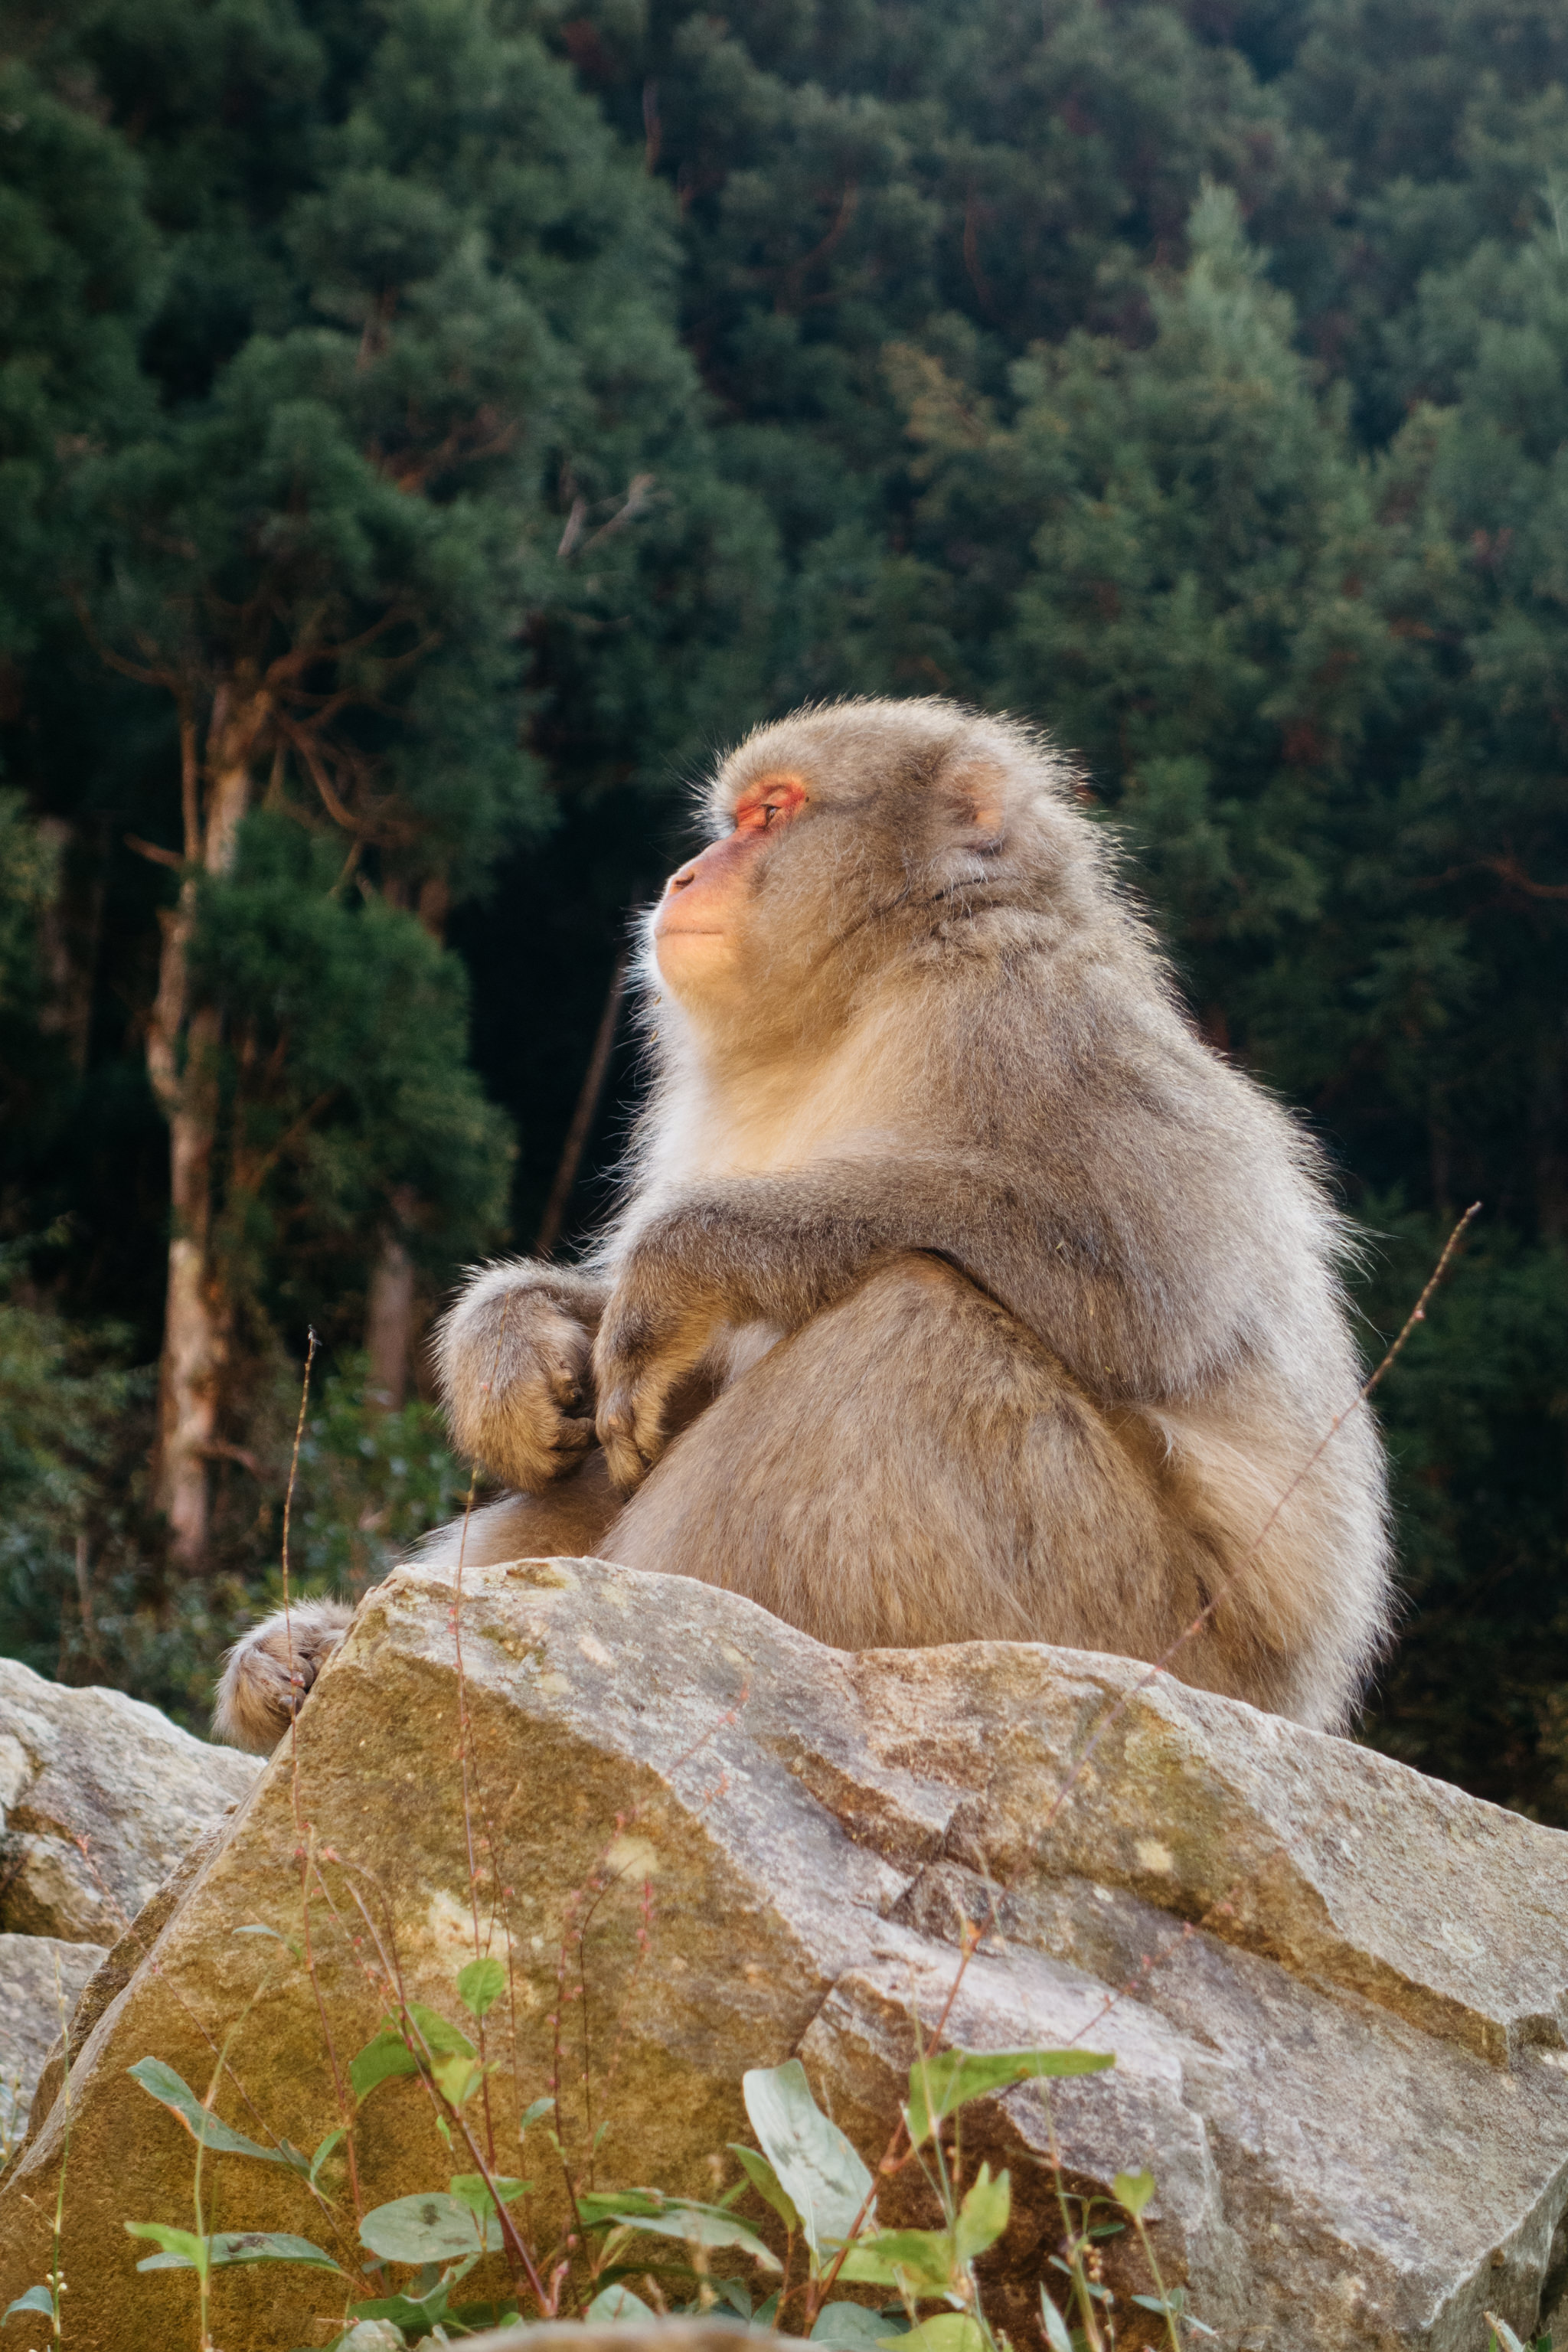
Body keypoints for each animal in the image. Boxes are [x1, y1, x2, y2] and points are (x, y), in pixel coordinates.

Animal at [215, 696, 1391, 1754]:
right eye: (729, 820)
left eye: (772, 814)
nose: (683, 878)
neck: (864, 987)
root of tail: (1296, 1704)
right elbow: (648, 1371)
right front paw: (510, 1348)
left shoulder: (1034, 1016)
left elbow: (1145, 1280)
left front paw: (683, 1263)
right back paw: (313, 1657)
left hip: (1127, 1620)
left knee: (915, 1318)